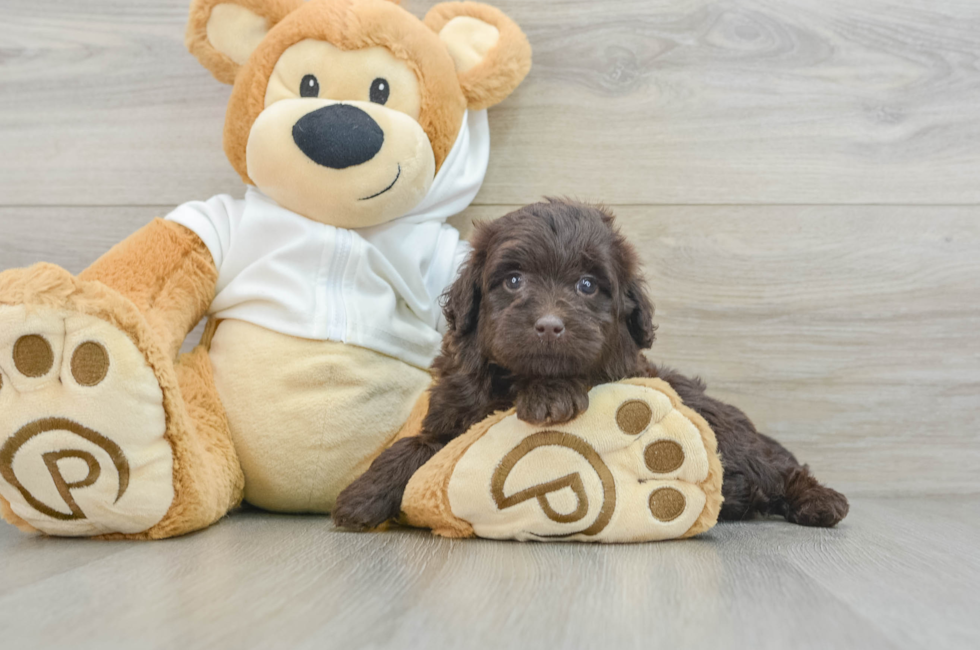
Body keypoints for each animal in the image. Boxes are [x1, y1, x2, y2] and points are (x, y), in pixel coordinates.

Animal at [332, 200, 848, 528]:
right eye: (513, 280)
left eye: (586, 285)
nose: (549, 325)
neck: (516, 379)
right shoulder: (450, 417)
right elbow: (414, 447)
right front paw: (361, 496)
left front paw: (551, 396)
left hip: (734, 437)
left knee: (778, 469)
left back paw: (821, 502)